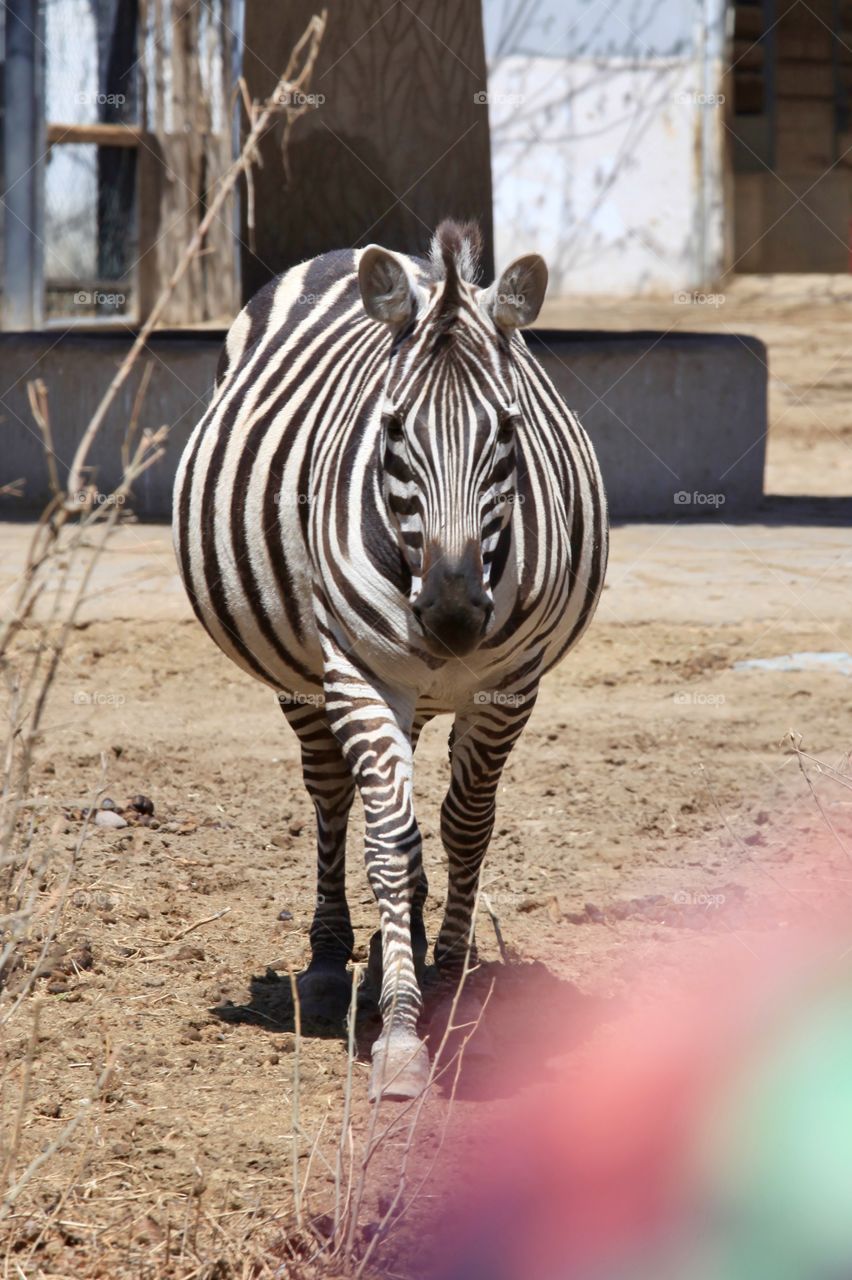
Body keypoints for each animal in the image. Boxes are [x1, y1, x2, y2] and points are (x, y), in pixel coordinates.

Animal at [173, 220, 608, 1101]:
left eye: (507, 431)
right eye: (394, 428)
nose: (451, 614)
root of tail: (350, 252)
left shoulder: (510, 687)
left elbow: (465, 829)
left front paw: (445, 977)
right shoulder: (357, 671)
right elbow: (387, 842)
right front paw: (402, 1033)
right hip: (308, 680)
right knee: (335, 794)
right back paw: (334, 960)